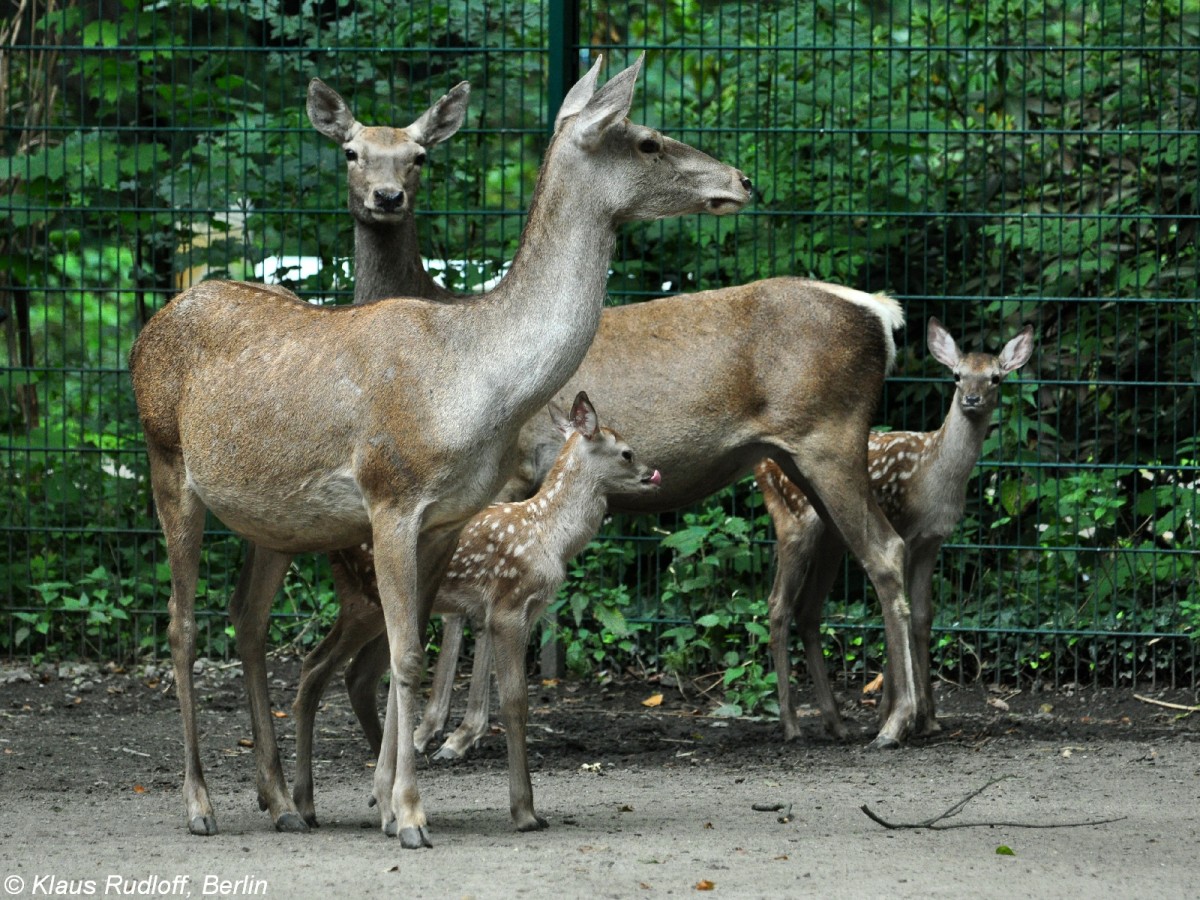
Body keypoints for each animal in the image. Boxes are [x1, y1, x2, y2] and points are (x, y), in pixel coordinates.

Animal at [294, 393, 662, 830]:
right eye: (626, 452)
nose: (653, 474)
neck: (548, 536)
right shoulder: (507, 609)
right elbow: (516, 701)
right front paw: (525, 812)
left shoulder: (526, 614)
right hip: (364, 602)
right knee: (318, 664)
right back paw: (313, 802)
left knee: (351, 673)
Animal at [758, 321, 1032, 744]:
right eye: (957, 376)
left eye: (995, 378)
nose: (971, 398)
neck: (933, 478)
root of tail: (762, 468)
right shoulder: (903, 528)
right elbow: (895, 614)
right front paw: (895, 714)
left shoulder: (931, 541)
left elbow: (921, 616)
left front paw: (928, 719)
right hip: (795, 522)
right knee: (777, 606)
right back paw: (791, 725)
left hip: (831, 540)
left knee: (807, 611)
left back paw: (836, 722)